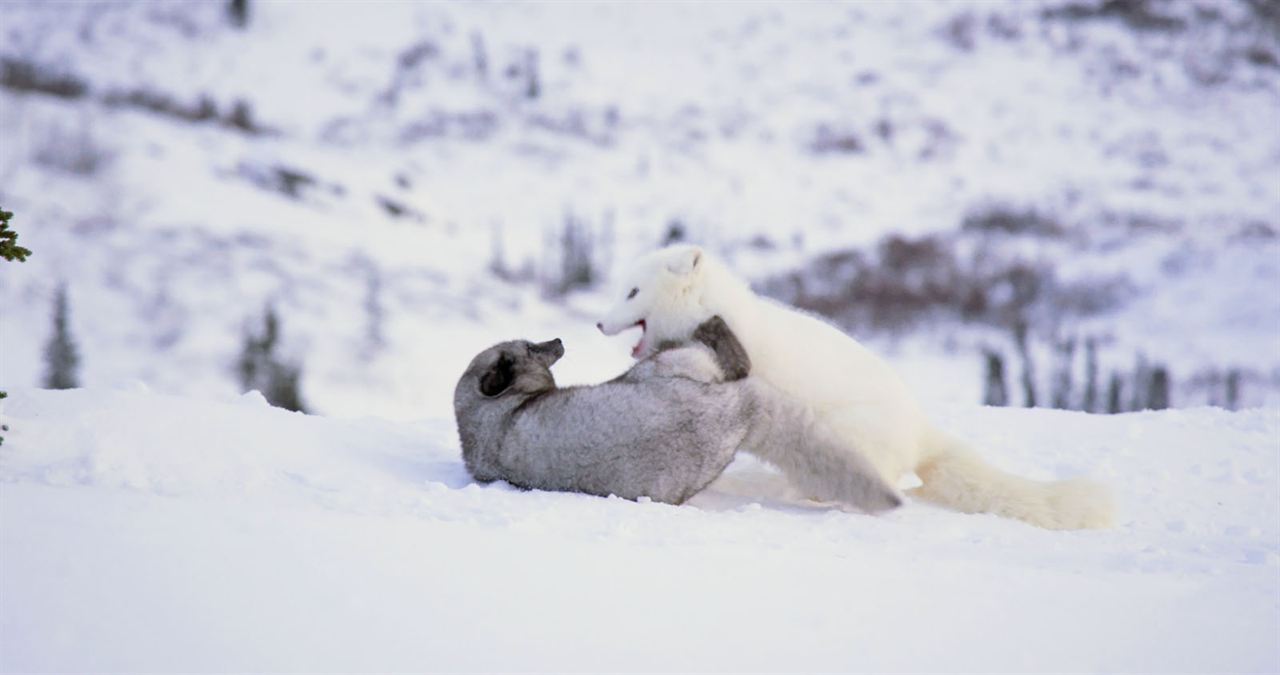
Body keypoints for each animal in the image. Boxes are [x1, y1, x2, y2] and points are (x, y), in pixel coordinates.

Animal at [455, 317, 906, 512]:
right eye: (531, 348)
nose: (559, 340)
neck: (491, 421)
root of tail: (738, 410)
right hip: (668, 368)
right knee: (736, 358)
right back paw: (711, 322)